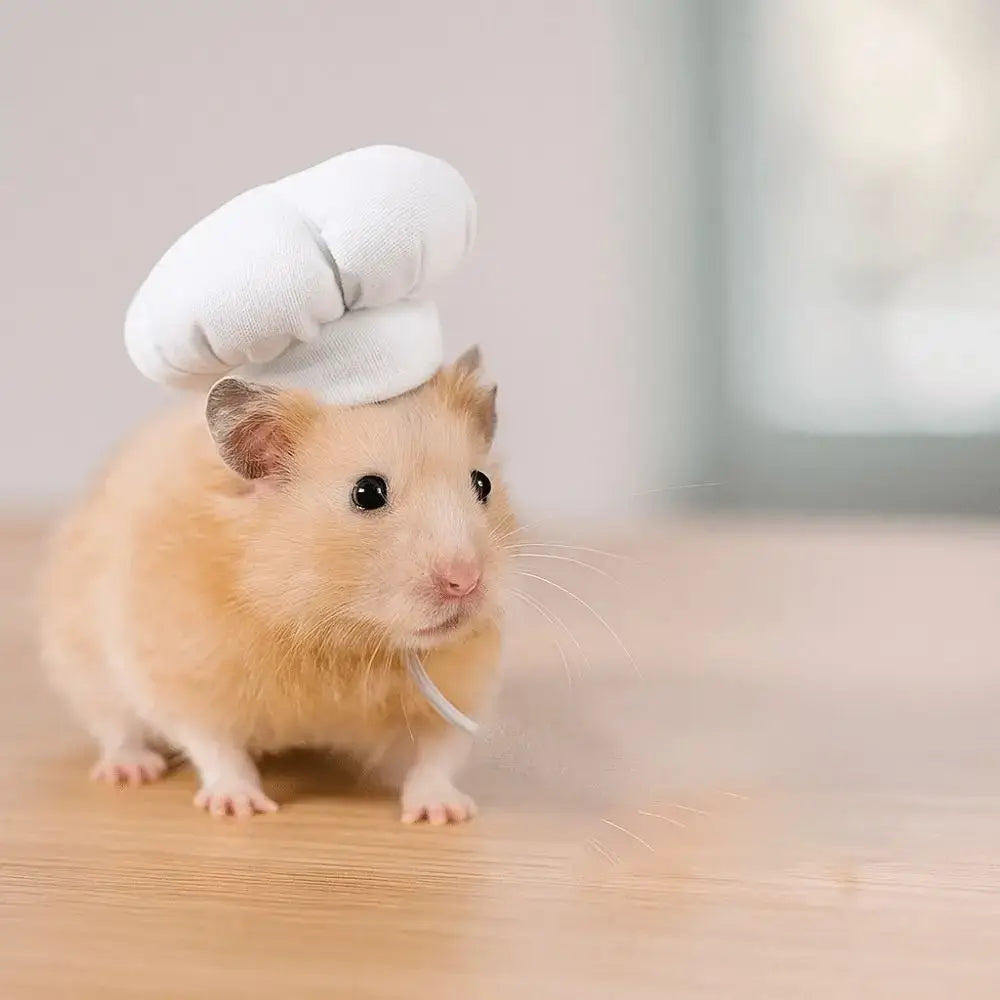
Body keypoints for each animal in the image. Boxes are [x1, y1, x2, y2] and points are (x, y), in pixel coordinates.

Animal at [39, 347, 513, 823]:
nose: (466, 581)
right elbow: (213, 745)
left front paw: (444, 812)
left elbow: (440, 753)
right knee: (114, 726)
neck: (343, 639)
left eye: (482, 483)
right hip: (81, 661)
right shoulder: (184, 675)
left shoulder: (460, 692)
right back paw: (131, 770)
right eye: (367, 492)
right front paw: (240, 807)